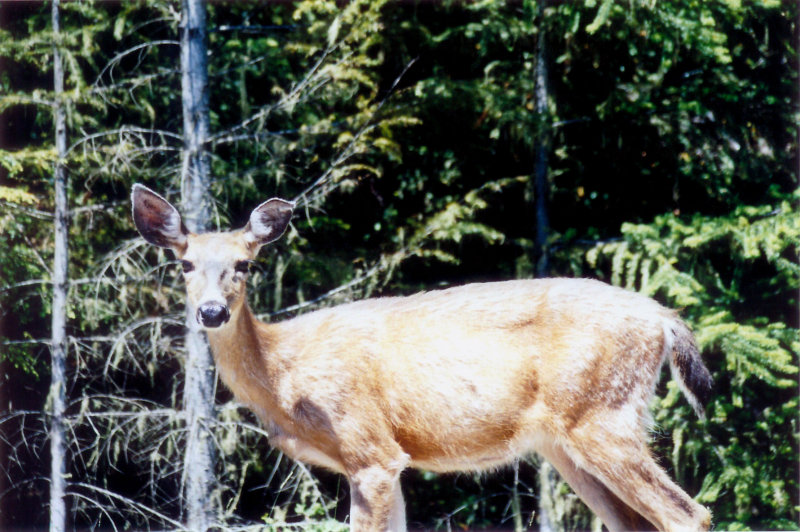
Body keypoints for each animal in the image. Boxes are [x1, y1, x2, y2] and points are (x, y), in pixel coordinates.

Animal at [131, 184, 712, 532]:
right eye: (184, 263)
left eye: (244, 264)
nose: (211, 312)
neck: (284, 374)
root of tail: (662, 317)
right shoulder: (385, 462)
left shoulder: (370, 449)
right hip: (566, 443)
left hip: (602, 417)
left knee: (689, 516)